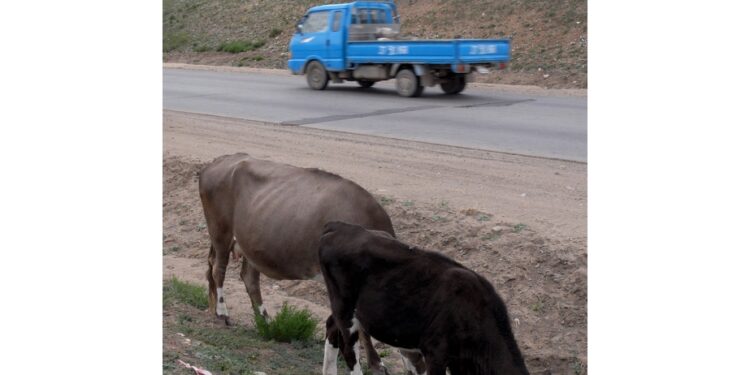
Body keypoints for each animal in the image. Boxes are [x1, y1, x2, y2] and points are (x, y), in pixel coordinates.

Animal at [200, 153, 396, 375]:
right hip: (220, 230)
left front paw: (374, 361)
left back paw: (265, 321)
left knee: (248, 278)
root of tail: (222, 160)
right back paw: (222, 313)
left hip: (250, 243)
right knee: (218, 269)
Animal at [320, 222, 532, 374]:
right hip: (344, 309)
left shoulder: (458, 361)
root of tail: (339, 227)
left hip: (345, 308)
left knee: (331, 327)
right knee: (349, 352)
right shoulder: (435, 350)